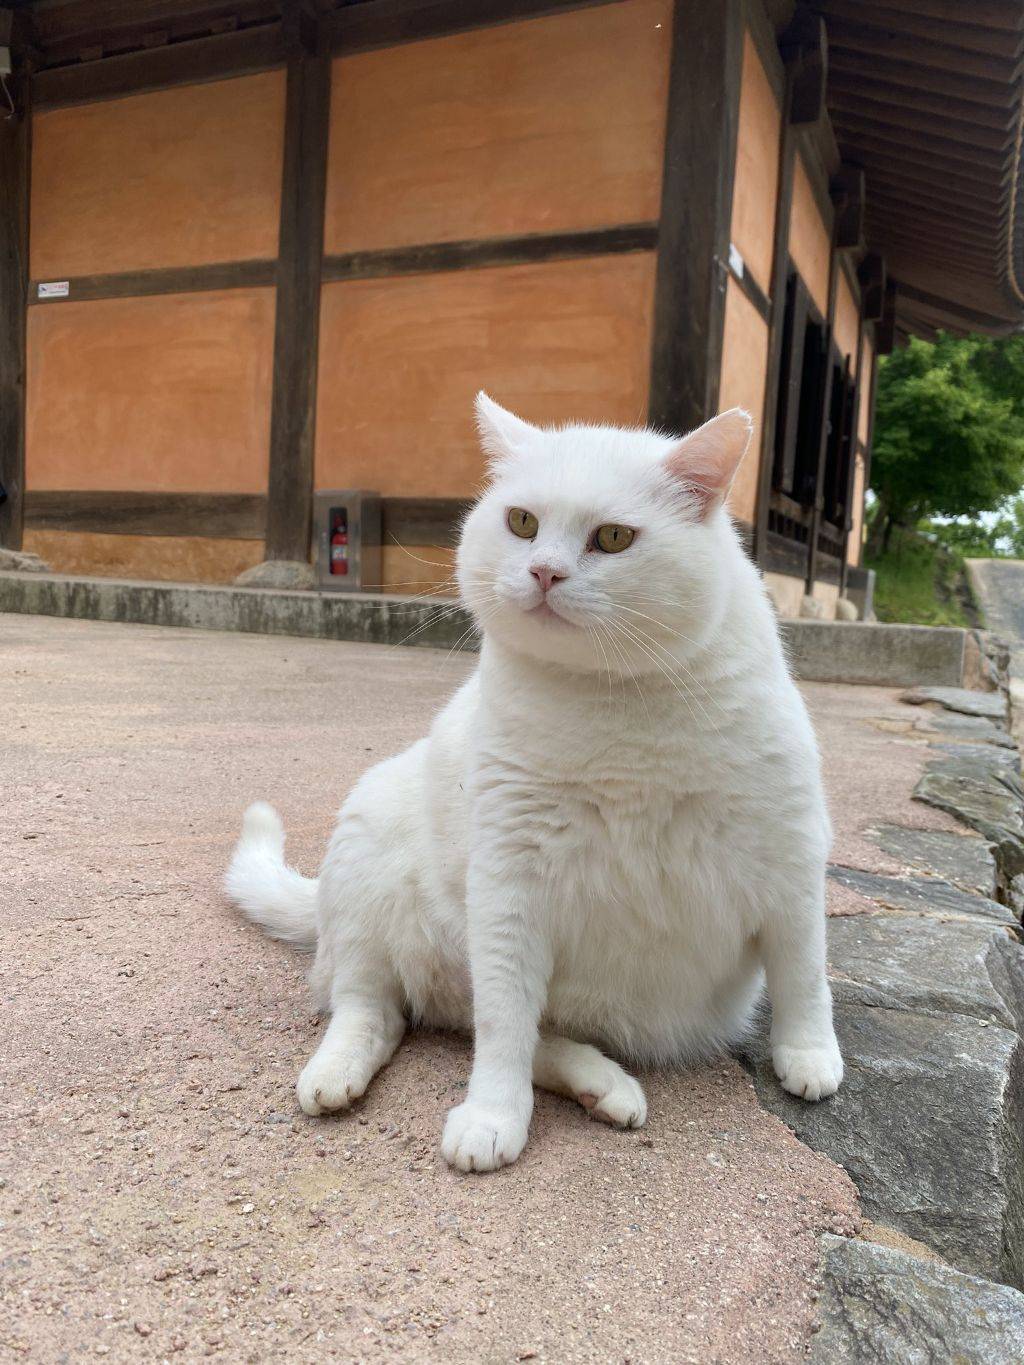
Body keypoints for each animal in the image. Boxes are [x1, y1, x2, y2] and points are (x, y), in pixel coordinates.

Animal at [228, 393, 846, 1173]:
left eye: (613, 537)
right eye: (522, 522)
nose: (545, 572)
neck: (615, 703)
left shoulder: (790, 857)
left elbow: (804, 974)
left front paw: (809, 1056)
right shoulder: (509, 886)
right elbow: (504, 1026)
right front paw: (493, 1115)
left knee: (505, 1031)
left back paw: (606, 1087)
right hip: (371, 856)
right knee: (380, 1009)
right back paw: (337, 1077)